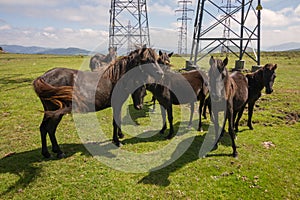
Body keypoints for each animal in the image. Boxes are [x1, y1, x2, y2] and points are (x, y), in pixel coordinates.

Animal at [33, 47, 164, 158]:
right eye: (147, 60)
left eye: (157, 59)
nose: (161, 74)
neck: (116, 78)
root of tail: (43, 77)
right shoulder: (116, 104)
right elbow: (115, 122)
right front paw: (117, 141)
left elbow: (118, 120)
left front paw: (120, 135)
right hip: (56, 113)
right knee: (50, 129)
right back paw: (58, 152)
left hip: (49, 112)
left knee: (43, 128)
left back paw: (47, 153)